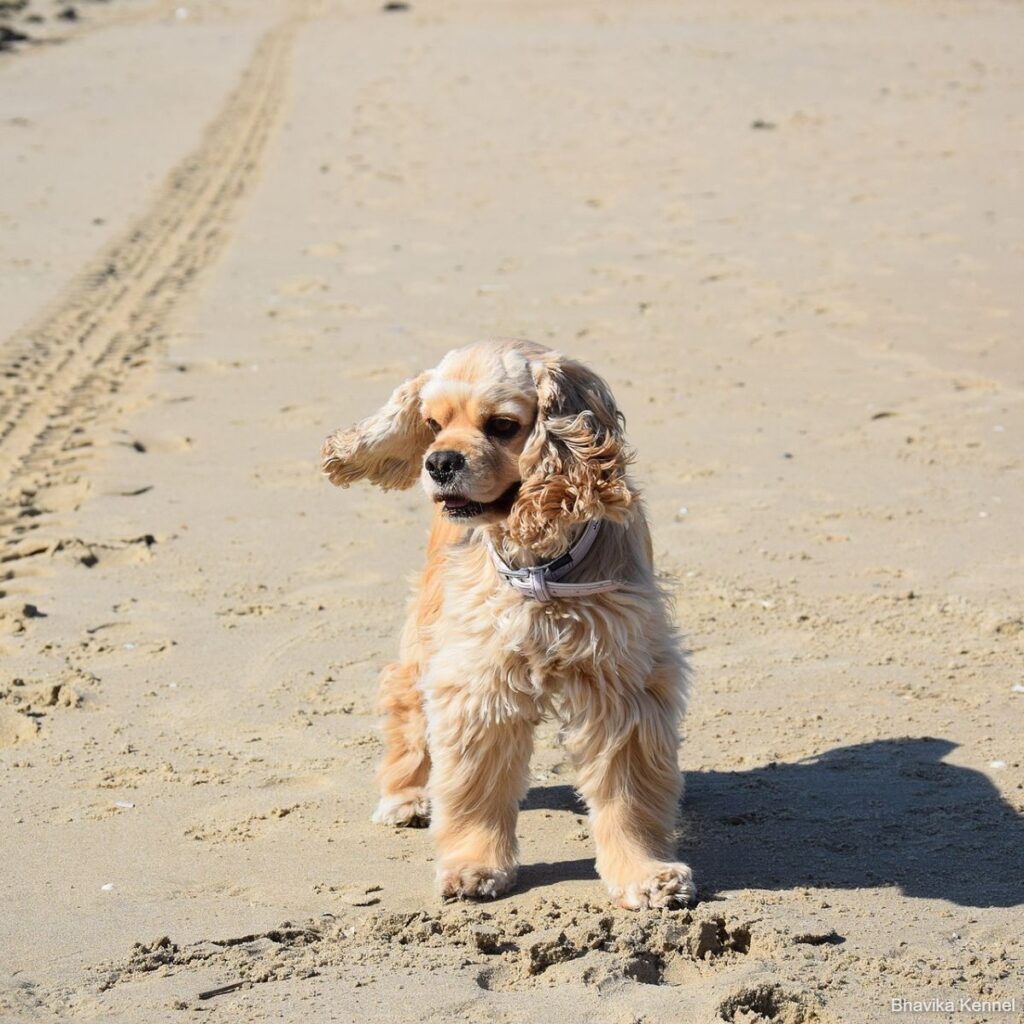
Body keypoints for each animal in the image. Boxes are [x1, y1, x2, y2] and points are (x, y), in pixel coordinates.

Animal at [323, 339, 692, 909]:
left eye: (501, 425)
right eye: (432, 423)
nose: (439, 462)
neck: (540, 557)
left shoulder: (620, 679)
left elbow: (627, 796)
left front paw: (645, 874)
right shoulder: (480, 677)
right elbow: (476, 784)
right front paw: (474, 866)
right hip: (427, 631)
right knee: (404, 697)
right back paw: (404, 797)